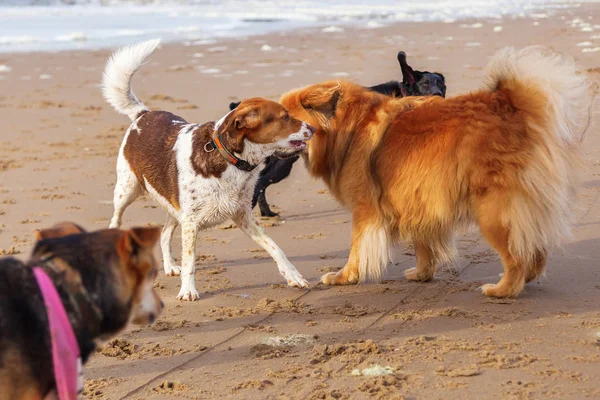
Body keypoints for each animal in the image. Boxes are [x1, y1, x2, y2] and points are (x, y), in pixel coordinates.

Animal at [102, 40, 314, 302]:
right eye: (284, 117)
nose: (314, 128)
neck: (231, 159)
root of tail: (143, 114)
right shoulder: (191, 223)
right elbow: (190, 261)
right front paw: (187, 290)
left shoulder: (242, 215)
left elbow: (275, 247)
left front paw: (293, 276)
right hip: (126, 191)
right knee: (115, 220)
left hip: (173, 205)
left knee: (164, 233)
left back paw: (170, 266)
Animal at [280, 47, 592, 296]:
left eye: (286, 117)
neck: (348, 128)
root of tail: (512, 107)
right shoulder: (418, 199)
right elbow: (423, 246)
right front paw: (421, 274)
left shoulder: (366, 211)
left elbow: (358, 250)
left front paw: (344, 277)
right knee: (535, 250)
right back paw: (526, 278)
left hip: (493, 212)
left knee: (517, 255)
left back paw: (501, 290)